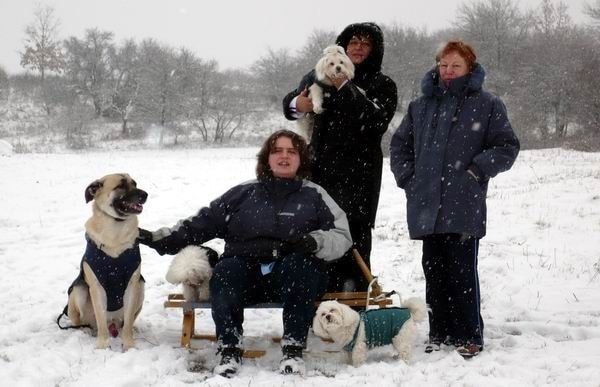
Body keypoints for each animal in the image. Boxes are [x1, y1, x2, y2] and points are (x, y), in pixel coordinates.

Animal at [67, 174, 148, 350]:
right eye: (121, 185)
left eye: (135, 184)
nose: (145, 195)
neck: (115, 232)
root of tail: (113, 323)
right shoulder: (96, 286)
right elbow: (101, 320)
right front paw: (103, 346)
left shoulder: (132, 283)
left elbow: (128, 322)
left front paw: (128, 345)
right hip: (78, 290)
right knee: (83, 322)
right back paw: (84, 330)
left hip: (141, 286)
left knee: (125, 322)